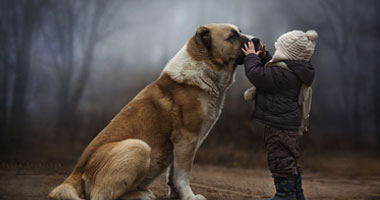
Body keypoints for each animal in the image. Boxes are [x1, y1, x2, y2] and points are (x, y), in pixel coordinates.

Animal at [49, 23, 254, 200]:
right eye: (232, 36)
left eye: (239, 31)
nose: (257, 40)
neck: (204, 67)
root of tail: (77, 170)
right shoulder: (187, 138)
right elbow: (184, 174)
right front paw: (190, 197)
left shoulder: (180, 144)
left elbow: (173, 174)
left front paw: (176, 195)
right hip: (139, 147)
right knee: (102, 196)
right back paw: (141, 195)